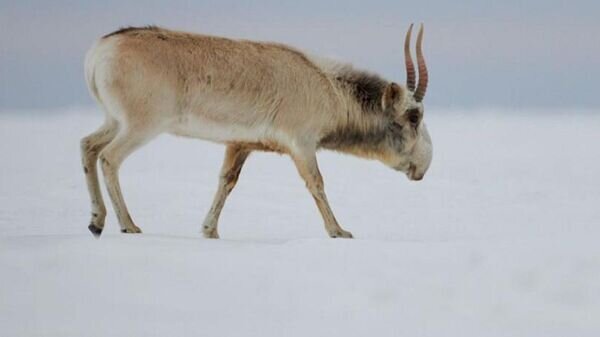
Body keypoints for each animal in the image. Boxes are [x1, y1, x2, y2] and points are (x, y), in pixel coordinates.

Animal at [83, 23, 432, 238]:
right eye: (414, 116)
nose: (423, 166)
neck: (327, 86)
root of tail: (99, 50)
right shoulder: (301, 144)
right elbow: (316, 183)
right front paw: (338, 231)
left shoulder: (240, 144)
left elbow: (227, 181)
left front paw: (210, 230)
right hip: (141, 125)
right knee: (109, 158)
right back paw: (128, 224)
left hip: (114, 121)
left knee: (88, 145)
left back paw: (97, 221)